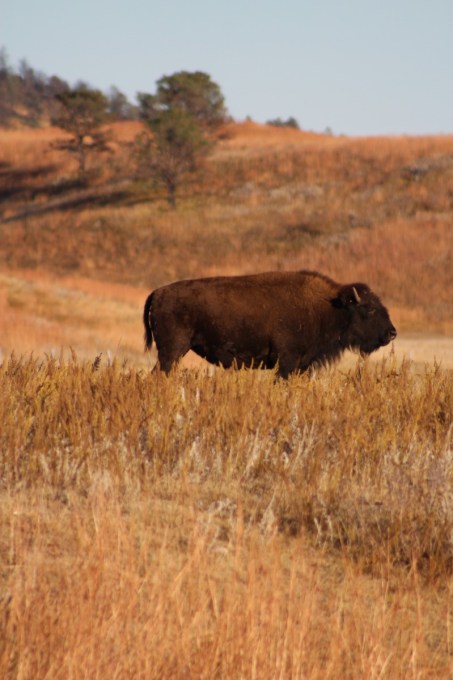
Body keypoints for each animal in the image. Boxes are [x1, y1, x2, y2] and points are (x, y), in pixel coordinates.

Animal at [142, 270, 396, 378]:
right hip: (172, 351)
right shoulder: (287, 361)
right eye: (369, 309)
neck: (329, 307)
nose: (392, 333)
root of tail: (158, 292)